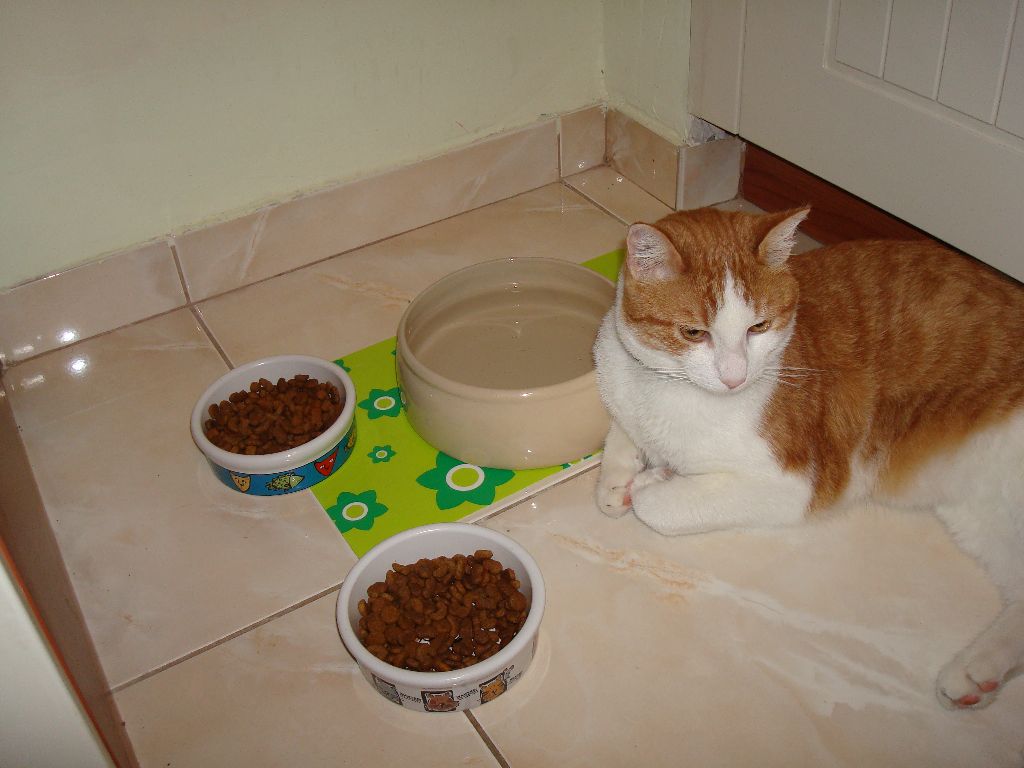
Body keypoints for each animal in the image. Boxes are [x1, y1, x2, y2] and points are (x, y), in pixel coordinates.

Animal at [593, 205, 1024, 710]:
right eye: (693, 333)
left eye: (758, 328)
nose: (735, 377)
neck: (668, 388)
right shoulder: (623, 389)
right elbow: (620, 436)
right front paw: (619, 480)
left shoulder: (800, 485)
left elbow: (659, 506)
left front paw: (651, 482)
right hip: (981, 514)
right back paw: (978, 674)